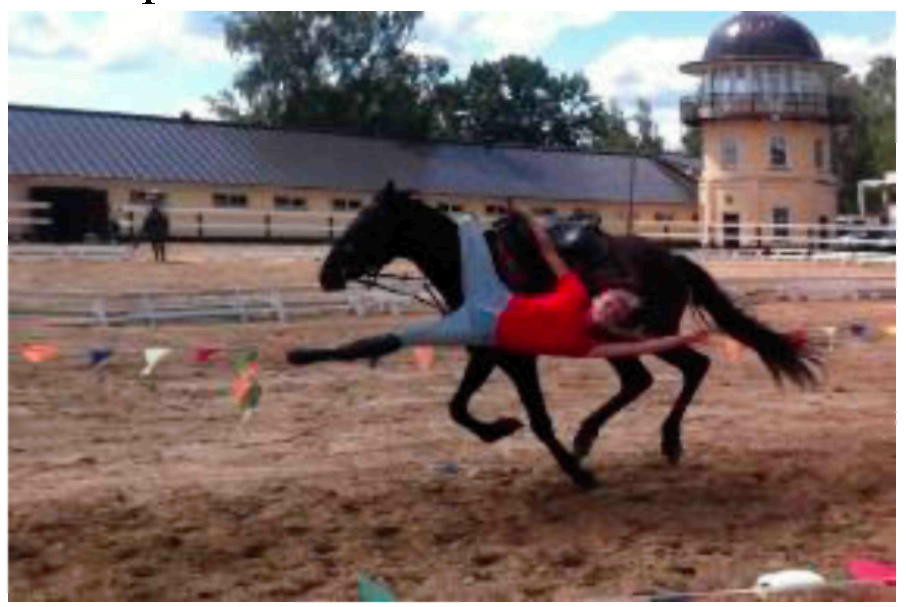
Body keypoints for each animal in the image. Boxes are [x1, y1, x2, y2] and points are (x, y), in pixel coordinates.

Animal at [312, 180, 817, 489]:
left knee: (688, 368)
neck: (481, 273)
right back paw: (599, 435)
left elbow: (539, 420)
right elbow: (457, 408)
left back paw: (662, 440)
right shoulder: (488, 354)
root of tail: (673, 259)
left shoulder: (520, 359)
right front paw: (499, 429)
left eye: (368, 224)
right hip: (623, 341)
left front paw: (577, 475)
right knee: (649, 378)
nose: (327, 272)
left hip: (641, 335)